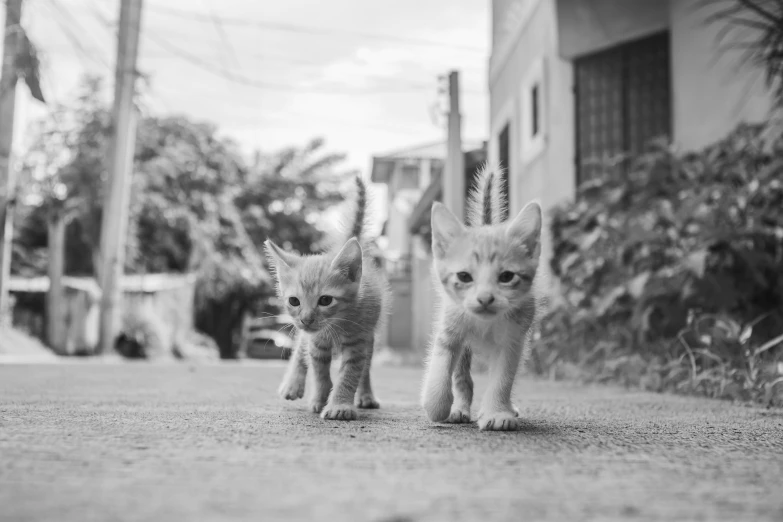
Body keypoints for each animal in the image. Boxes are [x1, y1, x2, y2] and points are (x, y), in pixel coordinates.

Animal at [268, 177, 390, 420]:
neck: (336, 325)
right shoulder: (316, 342)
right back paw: (293, 384)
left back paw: (366, 395)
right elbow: (319, 372)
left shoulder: (358, 341)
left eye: (325, 300)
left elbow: (350, 374)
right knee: (300, 349)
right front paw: (319, 398)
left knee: (366, 368)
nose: (306, 319)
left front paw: (340, 405)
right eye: (294, 301)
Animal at [422, 165, 544, 428]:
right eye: (464, 276)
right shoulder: (450, 327)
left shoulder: (513, 340)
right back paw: (458, 409)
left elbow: (503, 379)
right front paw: (436, 405)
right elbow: (441, 364)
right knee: (462, 378)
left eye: (506, 276)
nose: (485, 298)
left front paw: (497, 412)